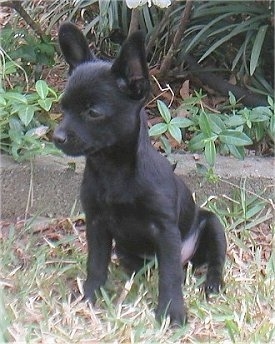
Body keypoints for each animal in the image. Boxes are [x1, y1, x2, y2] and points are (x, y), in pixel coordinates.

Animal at [53, 22, 226, 326]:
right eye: (63, 108)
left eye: (93, 112)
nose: (57, 137)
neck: (112, 168)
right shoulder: (96, 224)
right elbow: (95, 265)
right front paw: (89, 299)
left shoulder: (165, 230)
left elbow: (170, 276)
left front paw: (172, 313)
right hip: (125, 250)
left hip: (213, 226)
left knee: (212, 262)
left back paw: (212, 285)